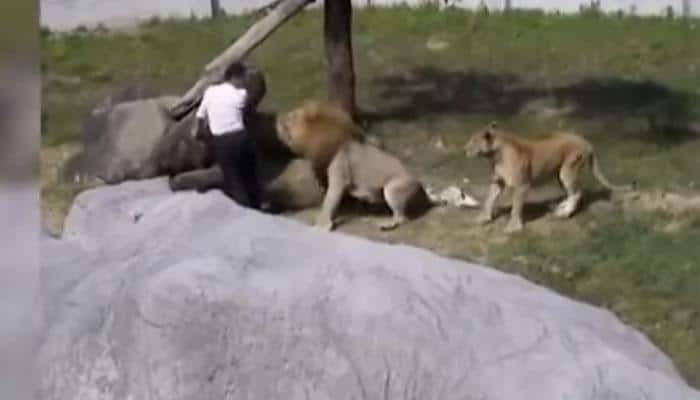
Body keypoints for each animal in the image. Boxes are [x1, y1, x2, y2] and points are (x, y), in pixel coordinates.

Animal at [276, 100, 430, 231]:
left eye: (291, 117)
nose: (277, 118)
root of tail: (426, 196)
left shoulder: (338, 179)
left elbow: (329, 203)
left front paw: (321, 225)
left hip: (392, 188)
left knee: (401, 217)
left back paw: (384, 223)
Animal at [464, 122, 636, 234]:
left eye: (473, 141)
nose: (465, 150)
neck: (495, 155)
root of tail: (586, 142)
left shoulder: (522, 185)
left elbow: (516, 207)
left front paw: (513, 227)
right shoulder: (497, 181)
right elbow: (489, 199)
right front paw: (483, 218)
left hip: (568, 170)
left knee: (577, 193)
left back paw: (563, 214)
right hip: (560, 174)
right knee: (573, 193)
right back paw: (560, 208)